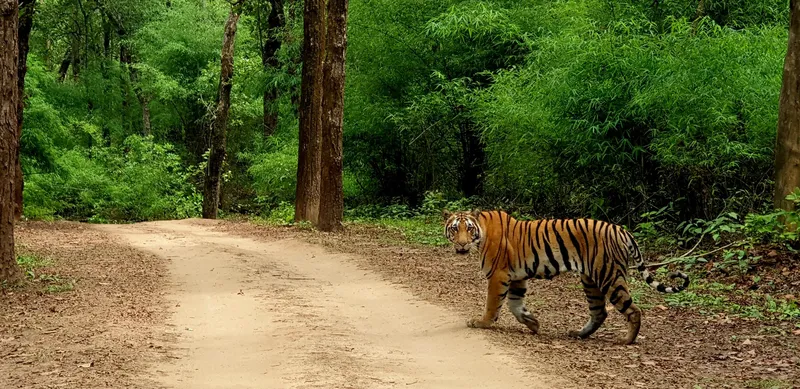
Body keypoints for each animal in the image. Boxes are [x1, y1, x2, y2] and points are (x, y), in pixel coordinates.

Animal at [440, 209, 692, 342]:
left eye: (468, 229)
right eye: (454, 229)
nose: (461, 245)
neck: (481, 231)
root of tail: (622, 230)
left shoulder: (498, 275)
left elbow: (493, 304)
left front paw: (481, 323)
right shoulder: (517, 277)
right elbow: (515, 305)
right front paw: (533, 323)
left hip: (609, 276)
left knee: (632, 309)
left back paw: (627, 340)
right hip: (591, 279)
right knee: (599, 312)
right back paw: (579, 333)